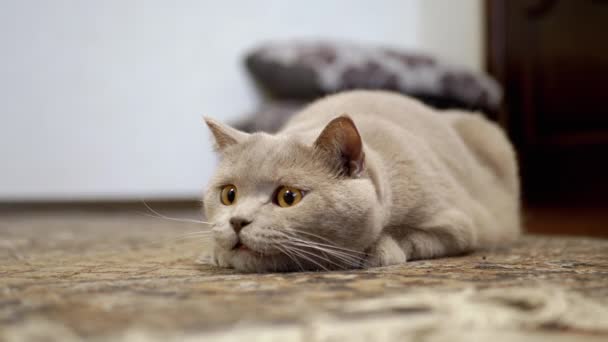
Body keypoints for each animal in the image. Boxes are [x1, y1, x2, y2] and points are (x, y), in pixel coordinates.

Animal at [202, 90, 520, 272]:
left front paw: (378, 250)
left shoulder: (457, 223)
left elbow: (410, 236)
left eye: (288, 197)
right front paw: (217, 253)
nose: (237, 221)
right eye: (229, 194)